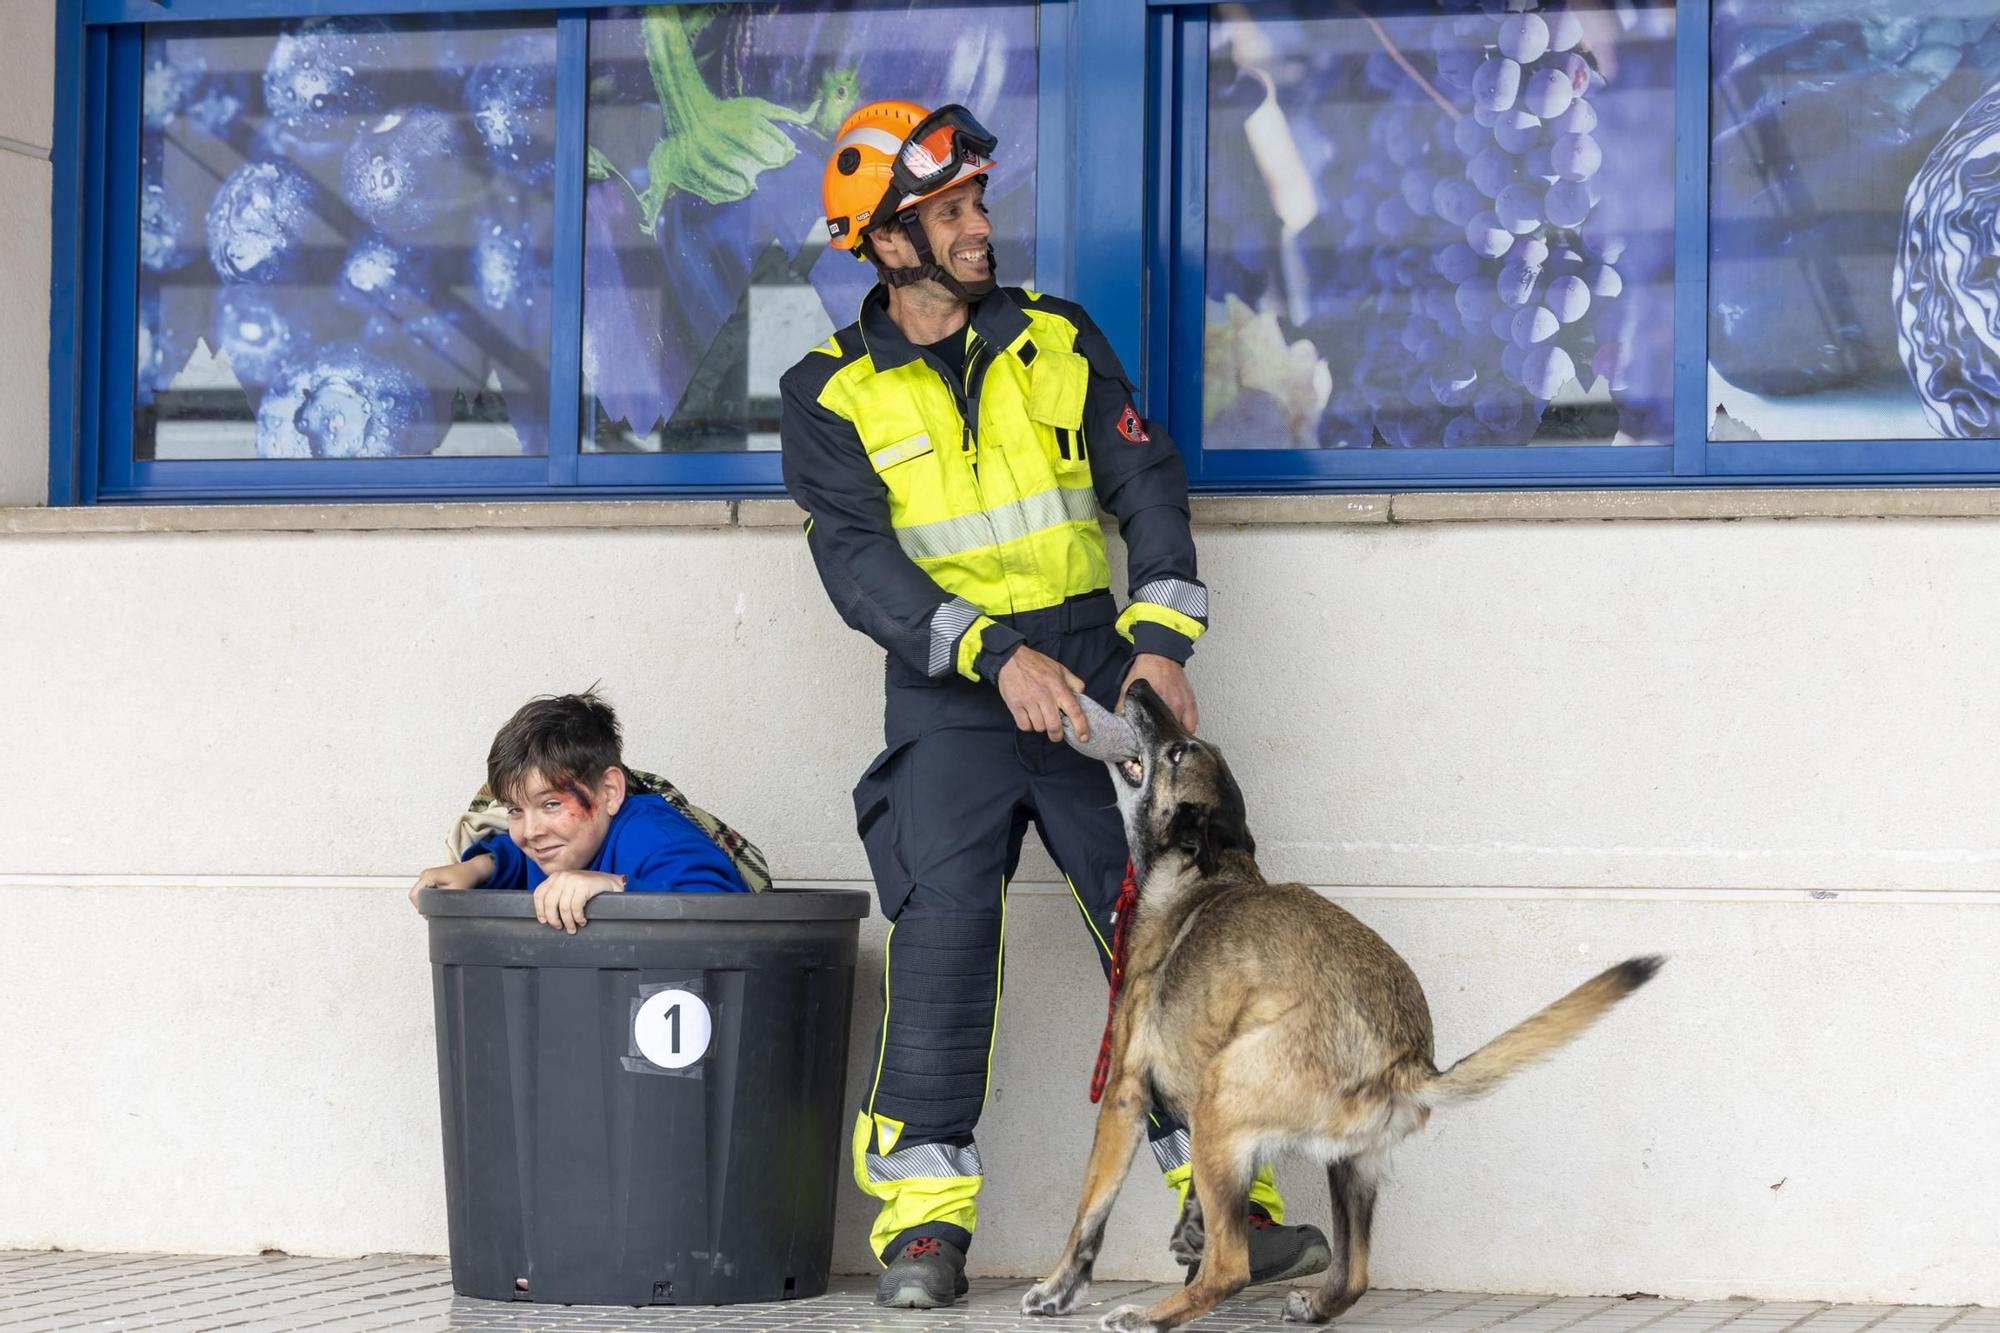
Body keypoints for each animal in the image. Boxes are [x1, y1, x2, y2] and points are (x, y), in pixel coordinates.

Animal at [1024, 680, 1664, 1320]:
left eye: (1181, 751)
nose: (1138, 685)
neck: (1206, 869)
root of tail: (1407, 1059)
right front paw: (1190, 1227)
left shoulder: (1124, 1095)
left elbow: (1089, 1213)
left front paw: (1057, 1289)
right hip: (1347, 1163)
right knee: (1354, 1273)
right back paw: (1312, 1304)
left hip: (1222, 1095)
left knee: (1230, 1270)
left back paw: (1147, 1316)